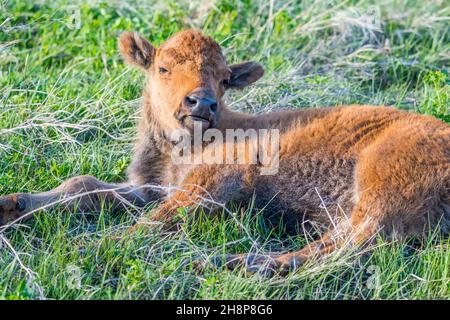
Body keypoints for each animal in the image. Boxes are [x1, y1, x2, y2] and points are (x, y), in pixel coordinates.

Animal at [0, 28, 450, 276]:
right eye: (163, 67)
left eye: (223, 79)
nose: (201, 102)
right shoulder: (150, 188)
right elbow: (86, 187)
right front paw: (12, 206)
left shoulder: (213, 181)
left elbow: (154, 222)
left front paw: (88, 248)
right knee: (339, 243)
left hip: (380, 184)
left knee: (348, 248)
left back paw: (222, 264)